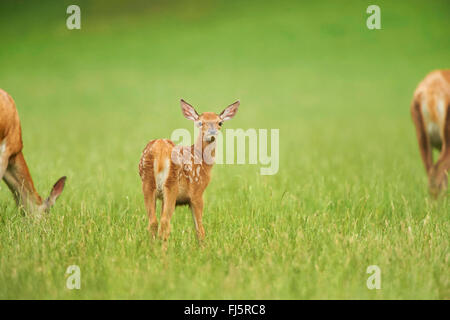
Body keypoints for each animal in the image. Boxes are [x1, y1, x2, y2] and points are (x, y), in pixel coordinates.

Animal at [140, 99, 239, 240]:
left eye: (220, 122)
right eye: (200, 122)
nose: (212, 134)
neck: (202, 162)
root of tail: (159, 148)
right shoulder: (197, 192)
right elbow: (199, 229)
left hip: (147, 183)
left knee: (153, 222)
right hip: (171, 184)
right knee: (165, 222)